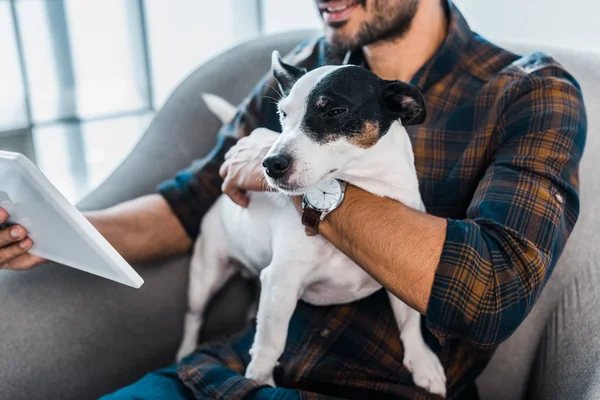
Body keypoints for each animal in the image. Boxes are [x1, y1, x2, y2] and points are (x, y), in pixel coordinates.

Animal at [176, 50, 448, 396]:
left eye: (334, 111)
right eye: (282, 114)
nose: (270, 163)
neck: (370, 188)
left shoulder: (401, 277)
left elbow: (410, 324)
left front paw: (422, 363)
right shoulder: (281, 283)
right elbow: (270, 345)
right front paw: (259, 379)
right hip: (205, 275)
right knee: (193, 317)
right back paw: (185, 348)